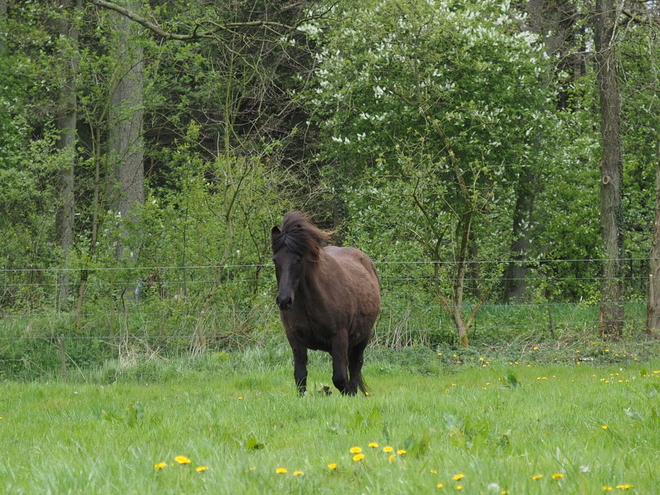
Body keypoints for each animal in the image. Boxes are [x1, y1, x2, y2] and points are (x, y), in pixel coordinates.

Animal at [270, 211, 382, 398]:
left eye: (299, 259)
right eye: (275, 260)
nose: (284, 301)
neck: (310, 302)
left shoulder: (339, 337)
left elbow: (340, 378)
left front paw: (347, 394)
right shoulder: (294, 339)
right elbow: (300, 376)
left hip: (363, 337)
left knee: (355, 366)